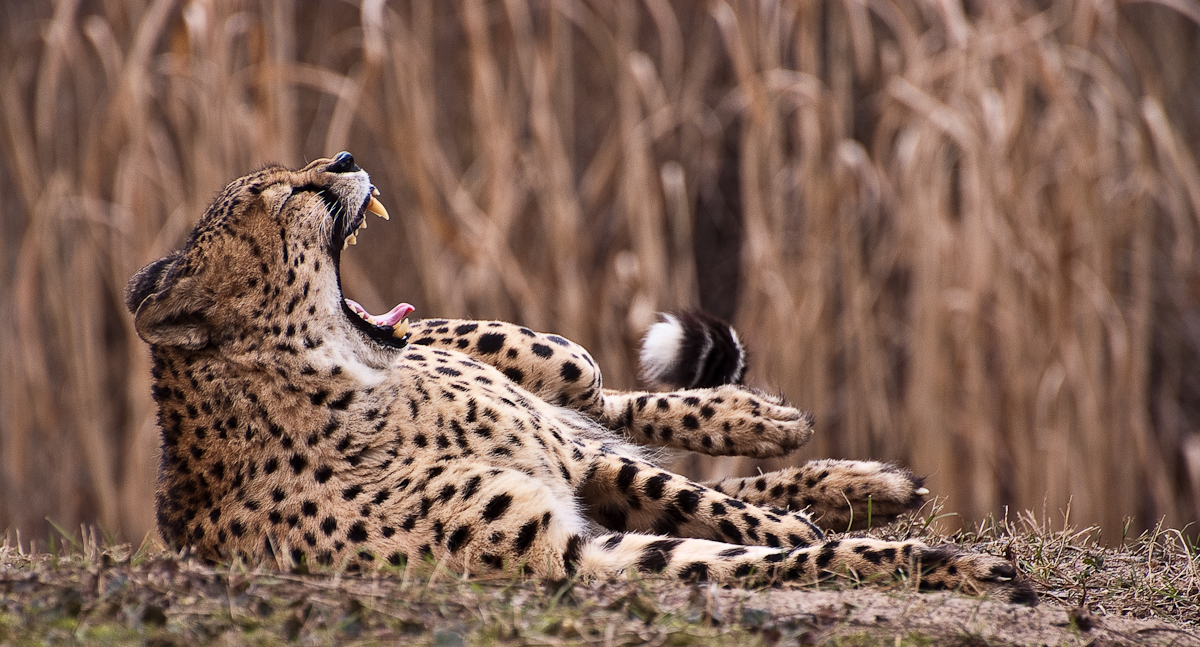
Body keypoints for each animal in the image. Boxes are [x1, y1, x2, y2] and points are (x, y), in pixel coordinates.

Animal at [126, 150, 1036, 602]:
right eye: (284, 196)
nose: (346, 154)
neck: (341, 393)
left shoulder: (575, 462)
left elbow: (701, 498)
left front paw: (807, 522)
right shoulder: (572, 554)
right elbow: (742, 551)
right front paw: (915, 559)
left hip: (554, 360)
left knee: (616, 404)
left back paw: (772, 425)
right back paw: (855, 484)